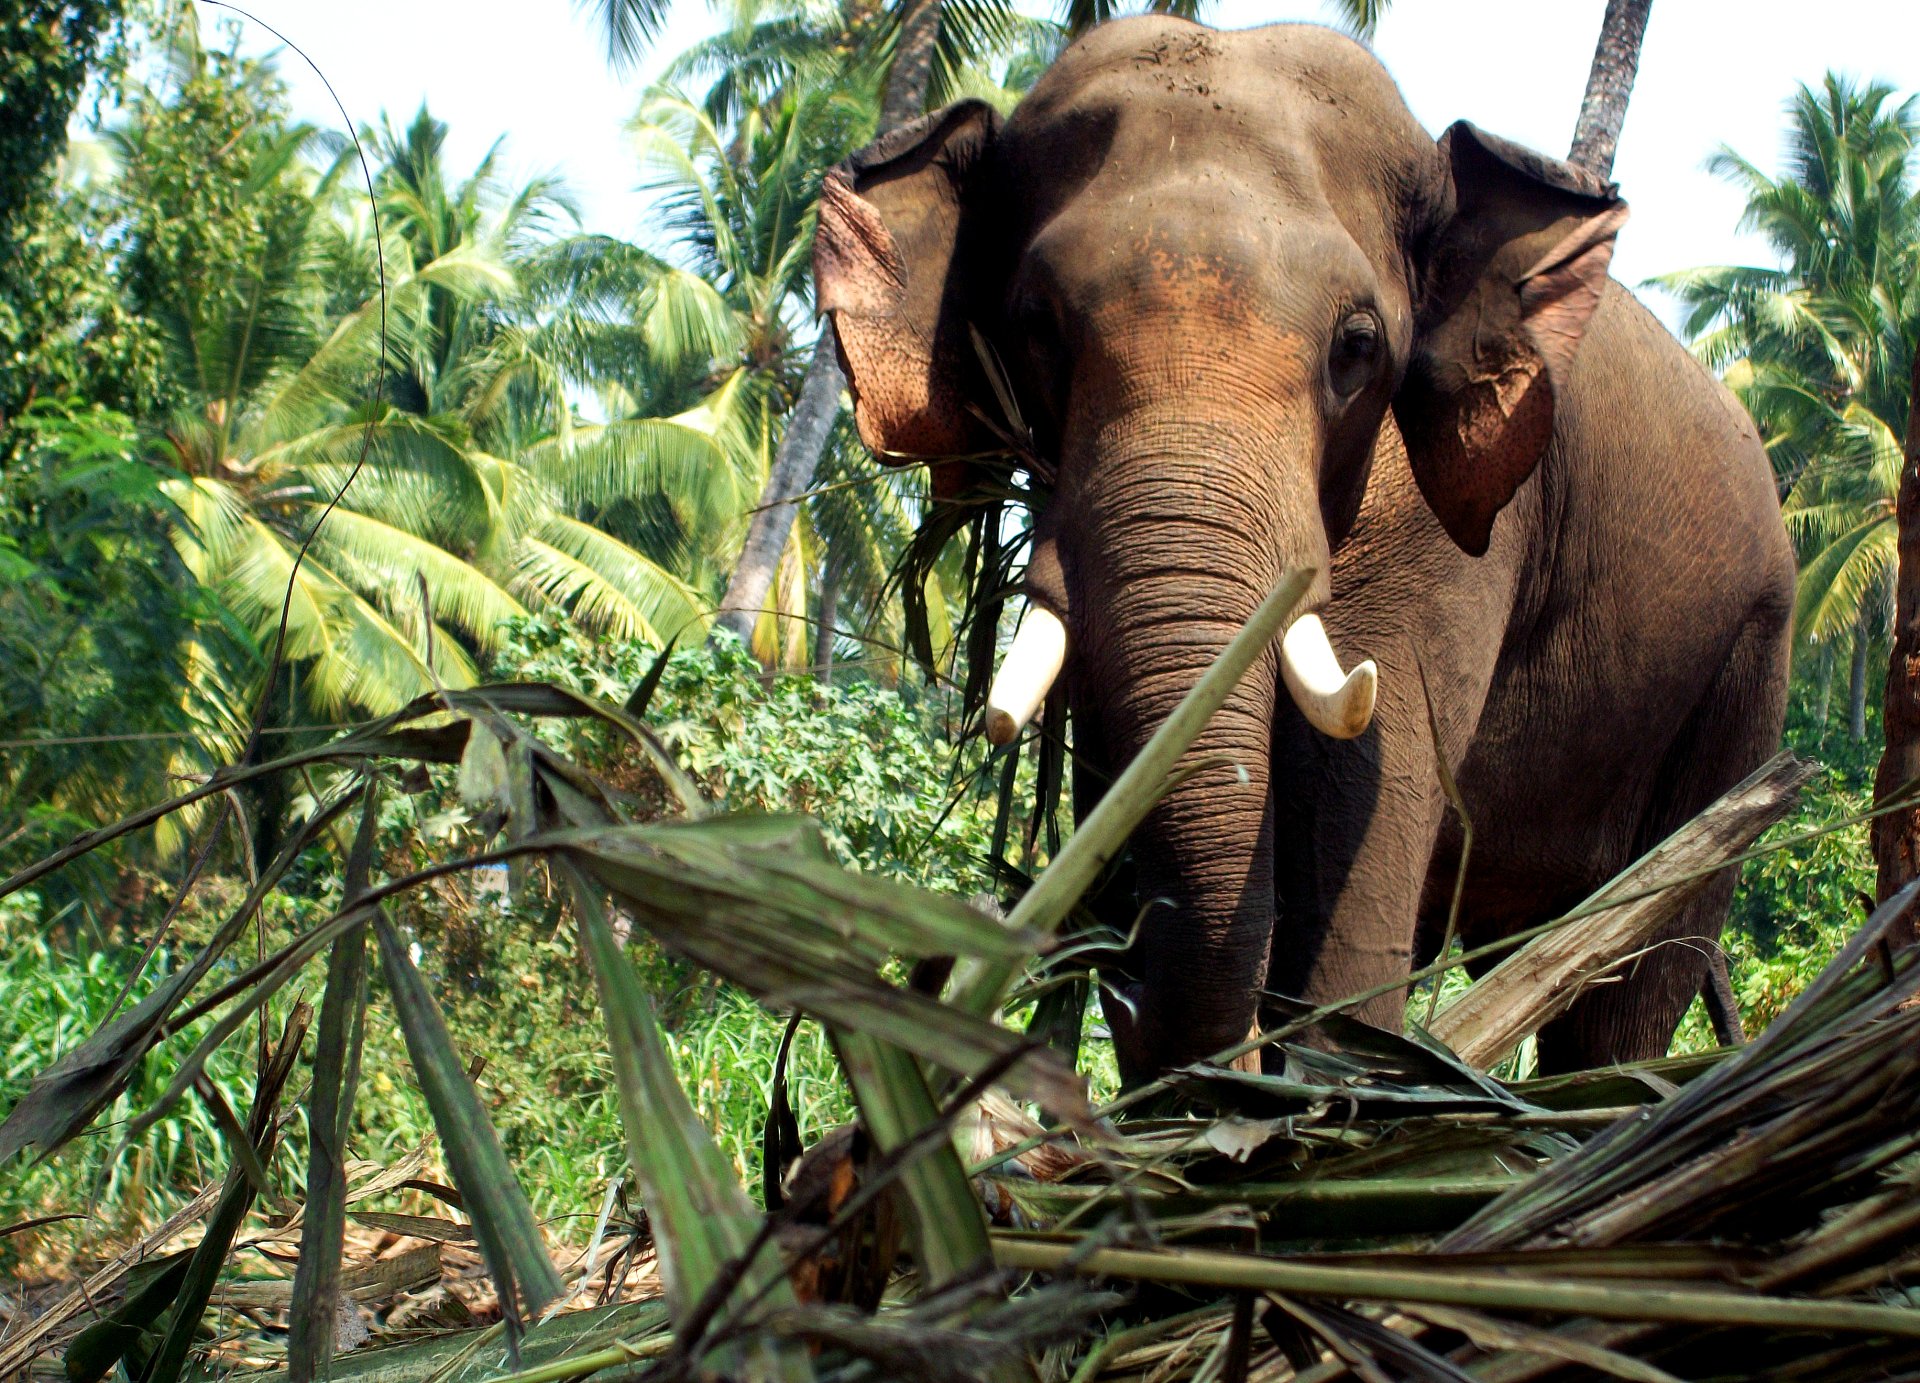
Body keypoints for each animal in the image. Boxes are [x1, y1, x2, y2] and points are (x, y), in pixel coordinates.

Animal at [812, 16, 1794, 1080]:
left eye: (1356, 347)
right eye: (1036, 327)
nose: (1112, 969)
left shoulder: (1443, 530)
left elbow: (1358, 790)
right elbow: (1119, 765)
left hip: (1747, 669)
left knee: (1634, 973)